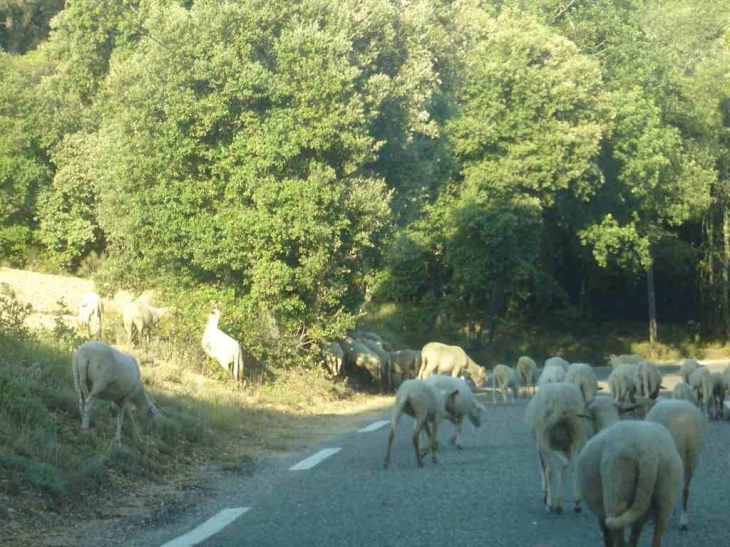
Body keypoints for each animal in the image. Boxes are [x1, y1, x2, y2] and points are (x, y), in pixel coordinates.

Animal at [524, 384, 624, 516]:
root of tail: (562, 403)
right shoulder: (565, 444)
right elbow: (562, 470)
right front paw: (559, 502)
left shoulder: (542, 446)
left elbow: (544, 467)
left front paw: (546, 496)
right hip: (578, 431)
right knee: (574, 466)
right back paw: (576, 503)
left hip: (544, 434)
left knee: (550, 469)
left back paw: (550, 504)